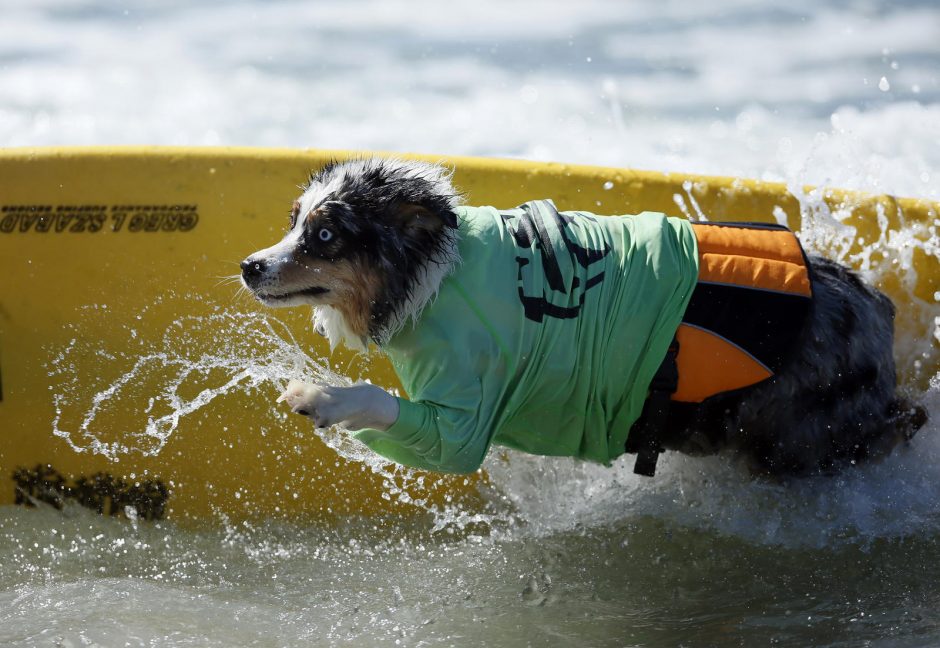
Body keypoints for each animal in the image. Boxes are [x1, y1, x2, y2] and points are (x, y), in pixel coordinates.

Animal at [241, 157, 924, 476]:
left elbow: (384, 404)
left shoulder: (464, 416)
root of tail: (874, 305)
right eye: (293, 220)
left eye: (325, 235)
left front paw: (318, 398)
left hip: (790, 436)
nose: (250, 265)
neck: (433, 277)